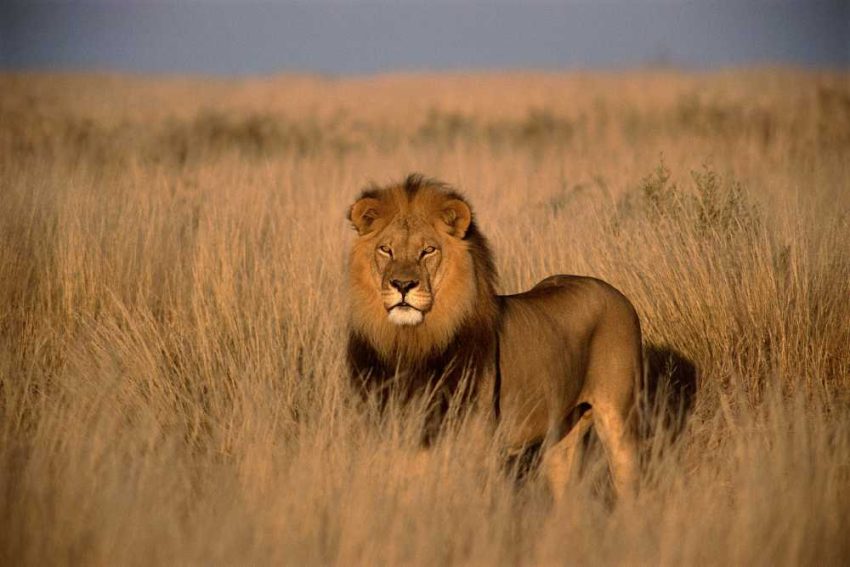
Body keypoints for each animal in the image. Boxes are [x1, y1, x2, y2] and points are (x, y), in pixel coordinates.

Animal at [346, 174, 641, 500]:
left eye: (428, 251)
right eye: (386, 250)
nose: (402, 285)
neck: (413, 344)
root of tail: (615, 292)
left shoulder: (475, 442)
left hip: (620, 418)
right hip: (563, 431)